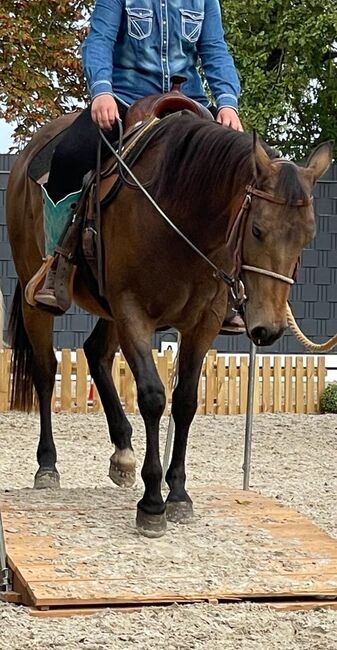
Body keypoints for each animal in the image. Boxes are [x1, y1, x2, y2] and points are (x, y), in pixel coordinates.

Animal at [5, 110, 330, 536]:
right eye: (258, 229)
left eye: (308, 235)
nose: (269, 328)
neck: (179, 209)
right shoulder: (133, 313)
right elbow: (153, 397)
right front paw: (152, 502)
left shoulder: (202, 324)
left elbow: (186, 401)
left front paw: (177, 493)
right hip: (37, 294)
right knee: (45, 372)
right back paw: (47, 464)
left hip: (109, 313)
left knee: (96, 353)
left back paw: (123, 453)